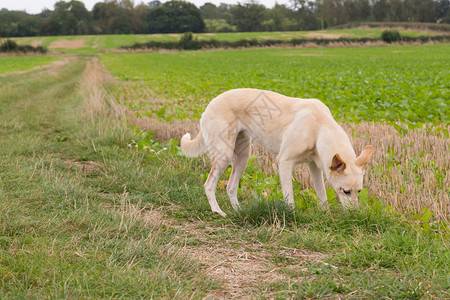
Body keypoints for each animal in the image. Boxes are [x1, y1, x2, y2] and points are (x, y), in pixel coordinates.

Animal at [179, 88, 372, 217]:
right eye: (345, 191)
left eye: (359, 191)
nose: (355, 215)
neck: (320, 126)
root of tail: (209, 105)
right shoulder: (285, 163)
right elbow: (289, 196)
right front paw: (292, 215)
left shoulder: (314, 167)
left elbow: (322, 195)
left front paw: (326, 215)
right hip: (223, 155)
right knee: (209, 185)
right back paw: (217, 211)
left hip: (243, 157)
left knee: (230, 187)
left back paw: (239, 210)